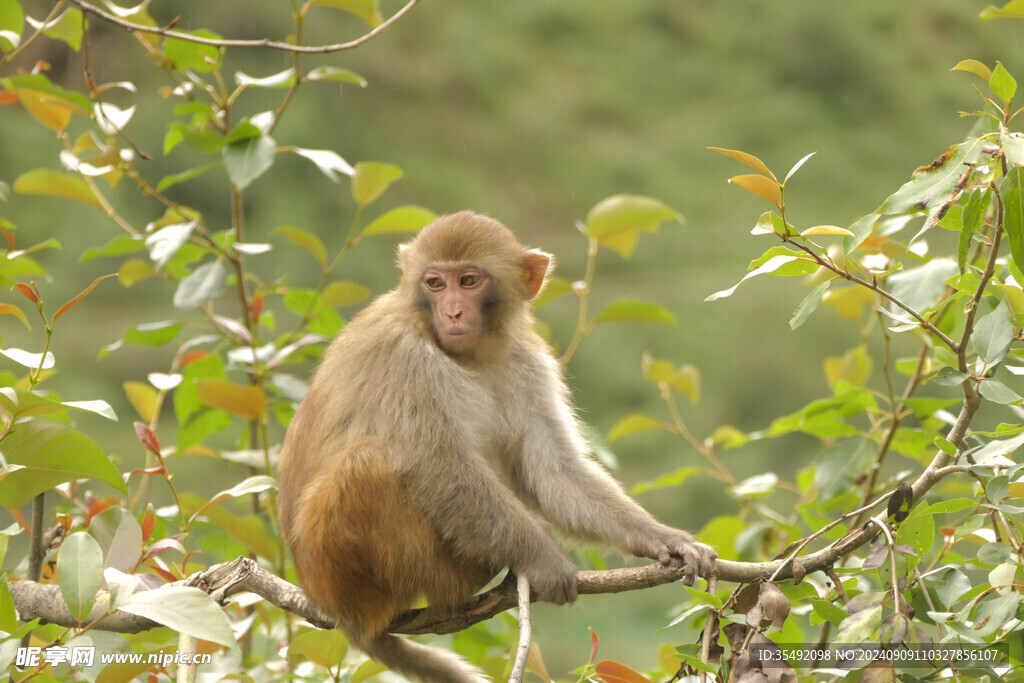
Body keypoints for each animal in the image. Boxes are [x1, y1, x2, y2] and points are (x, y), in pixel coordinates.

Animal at [276, 210, 716, 679]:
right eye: (435, 283)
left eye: (469, 280)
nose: (452, 311)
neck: (468, 354)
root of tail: (338, 610)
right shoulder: (401, 355)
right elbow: (439, 464)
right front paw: (542, 559)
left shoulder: (528, 358)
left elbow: (552, 472)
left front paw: (663, 538)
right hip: (342, 566)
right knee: (369, 462)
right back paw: (466, 578)